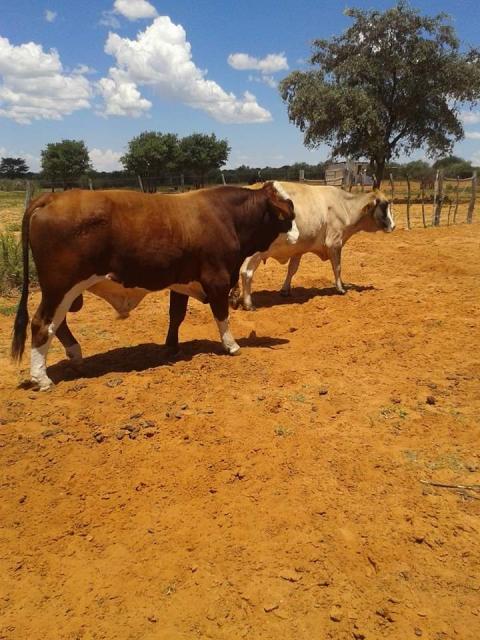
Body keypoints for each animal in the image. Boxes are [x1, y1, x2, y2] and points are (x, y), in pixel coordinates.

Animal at [232, 181, 394, 312]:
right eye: (384, 206)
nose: (393, 226)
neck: (344, 206)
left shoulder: (298, 249)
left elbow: (292, 269)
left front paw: (285, 290)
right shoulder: (335, 243)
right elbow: (337, 267)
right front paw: (341, 288)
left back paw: (234, 297)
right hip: (255, 253)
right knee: (246, 273)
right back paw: (248, 304)